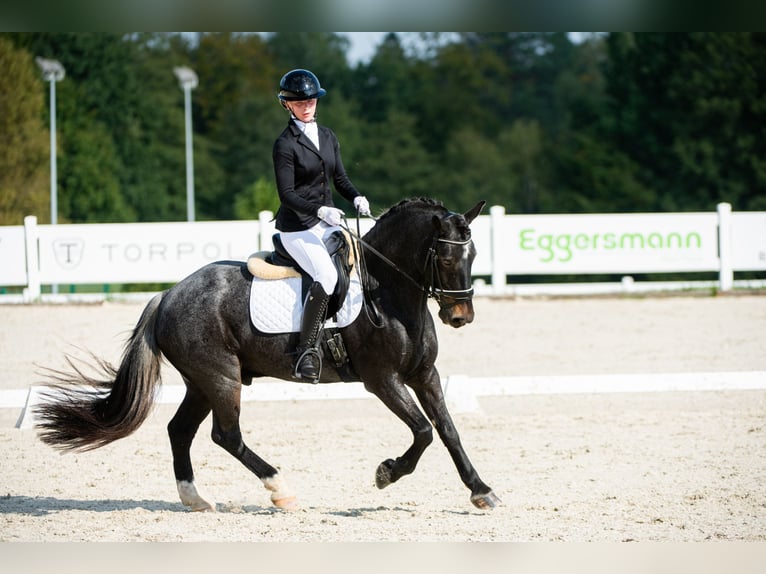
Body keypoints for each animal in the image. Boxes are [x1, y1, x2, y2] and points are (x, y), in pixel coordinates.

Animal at [34, 198, 504, 512]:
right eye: (445, 257)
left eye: (474, 254)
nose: (460, 316)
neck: (389, 293)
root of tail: (168, 295)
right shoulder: (382, 380)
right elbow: (423, 431)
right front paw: (386, 473)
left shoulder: (424, 374)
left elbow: (448, 430)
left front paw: (481, 490)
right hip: (221, 377)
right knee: (225, 435)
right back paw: (281, 489)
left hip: (202, 382)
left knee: (180, 431)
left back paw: (196, 499)